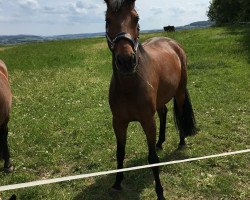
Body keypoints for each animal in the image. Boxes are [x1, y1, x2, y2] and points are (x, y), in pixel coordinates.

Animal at [104, 0, 197, 199]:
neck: (129, 87)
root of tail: (173, 43)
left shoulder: (148, 121)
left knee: (179, 112)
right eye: (107, 20)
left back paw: (181, 141)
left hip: (179, 92)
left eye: (136, 18)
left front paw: (160, 192)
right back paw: (160, 142)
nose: (126, 61)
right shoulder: (118, 122)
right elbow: (120, 152)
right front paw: (117, 182)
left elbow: (153, 158)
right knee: (163, 113)